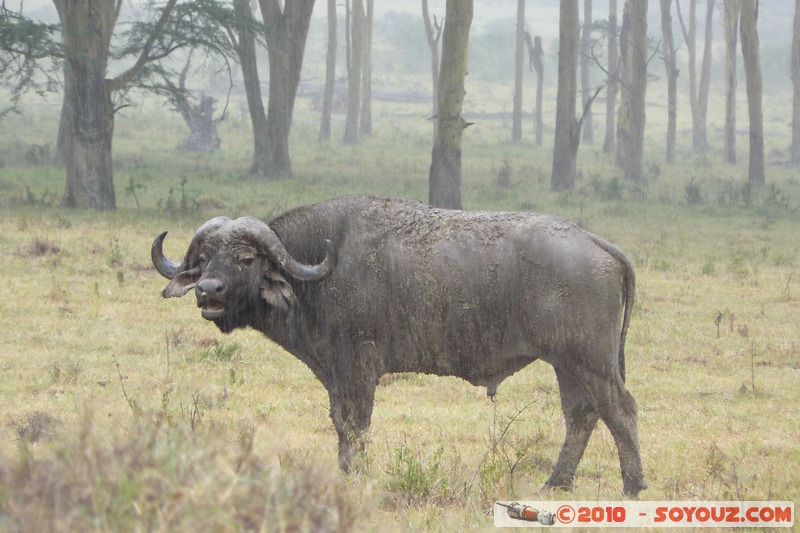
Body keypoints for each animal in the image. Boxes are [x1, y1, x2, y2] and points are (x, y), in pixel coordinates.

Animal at [151, 195, 646, 496]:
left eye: (246, 258)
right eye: (204, 258)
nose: (208, 291)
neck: (319, 273)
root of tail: (593, 241)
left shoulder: (358, 369)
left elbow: (355, 425)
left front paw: (354, 476)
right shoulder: (336, 373)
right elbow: (340, 424)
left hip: (592, 360)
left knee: (620, 412)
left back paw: (632, 487)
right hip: (566, 363)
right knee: (581, 415)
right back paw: (555, 485)